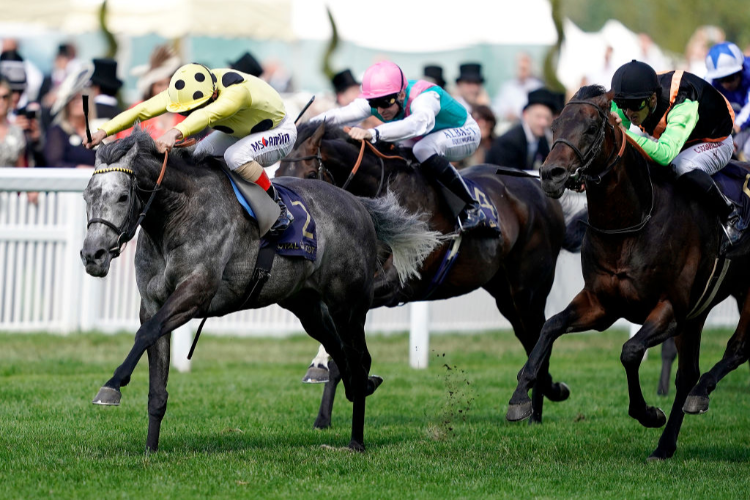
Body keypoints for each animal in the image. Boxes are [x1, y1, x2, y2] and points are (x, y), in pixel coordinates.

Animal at [79, 130, 444, 454]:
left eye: (122, 196)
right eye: (87, 196)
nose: (92, 254)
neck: (176, 216)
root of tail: (357, 203)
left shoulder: (195, 292)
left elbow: (144, 334)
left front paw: (111, 386)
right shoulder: (153, 302)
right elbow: (156, 379)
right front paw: (150, 450)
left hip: (347, 303)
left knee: (359, 357)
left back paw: (357, 441)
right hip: (306, 306)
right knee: (338, 350)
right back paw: (360, 388)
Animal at [506, 86, 750, 460]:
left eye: (592, 128)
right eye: (554, 125)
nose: (551, 174)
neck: (632, 224)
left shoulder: (671, 309)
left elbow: (630, 351)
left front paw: (648, 413)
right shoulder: (602, 304)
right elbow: (549, 327)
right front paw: (521, 395)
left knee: (734, 351)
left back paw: (701, 393)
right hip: (700, 311)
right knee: (688, 374)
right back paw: (666, 444)